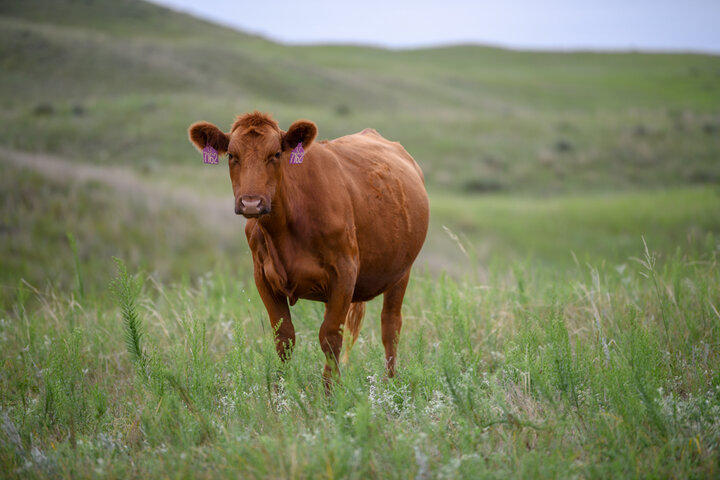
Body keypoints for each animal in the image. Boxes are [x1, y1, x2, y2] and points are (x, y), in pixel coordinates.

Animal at [188, 113, 430, 390]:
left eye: (276, 154)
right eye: (231, 155)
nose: (251, 202)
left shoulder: (345, 272)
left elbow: (330, 338)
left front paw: (329, 393)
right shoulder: (263, 277)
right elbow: (284, 337)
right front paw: (282, 390)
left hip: (401, 273)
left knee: (390, 326)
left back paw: (390, 384)